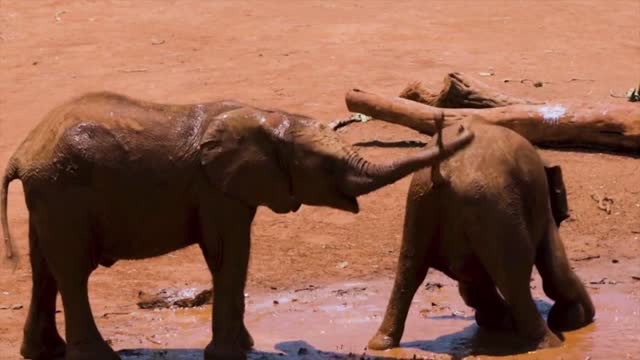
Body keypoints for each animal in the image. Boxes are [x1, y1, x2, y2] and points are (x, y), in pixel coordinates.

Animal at [0, 91, 470, 358]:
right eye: (325, 164)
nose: (456, 129)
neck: (269, 118)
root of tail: (21, 153)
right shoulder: (215, 188)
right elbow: (228, 252)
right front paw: (231, 354)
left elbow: (232, 256)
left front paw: (244, 348)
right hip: (64, 191)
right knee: (72, 272)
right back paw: (99, 357)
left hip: (51, 195)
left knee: (45, 271)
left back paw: (43, 352)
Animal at [370, 118, 596, 352]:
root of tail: (444, 171)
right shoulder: (540, 207)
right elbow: (555, 269)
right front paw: (575, 319)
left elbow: (471, 282)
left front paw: (498, 321)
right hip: (494, 207)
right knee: (515, 278)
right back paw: (549, 344)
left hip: (421, 202)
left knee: (409, 270)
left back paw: (380, 344)